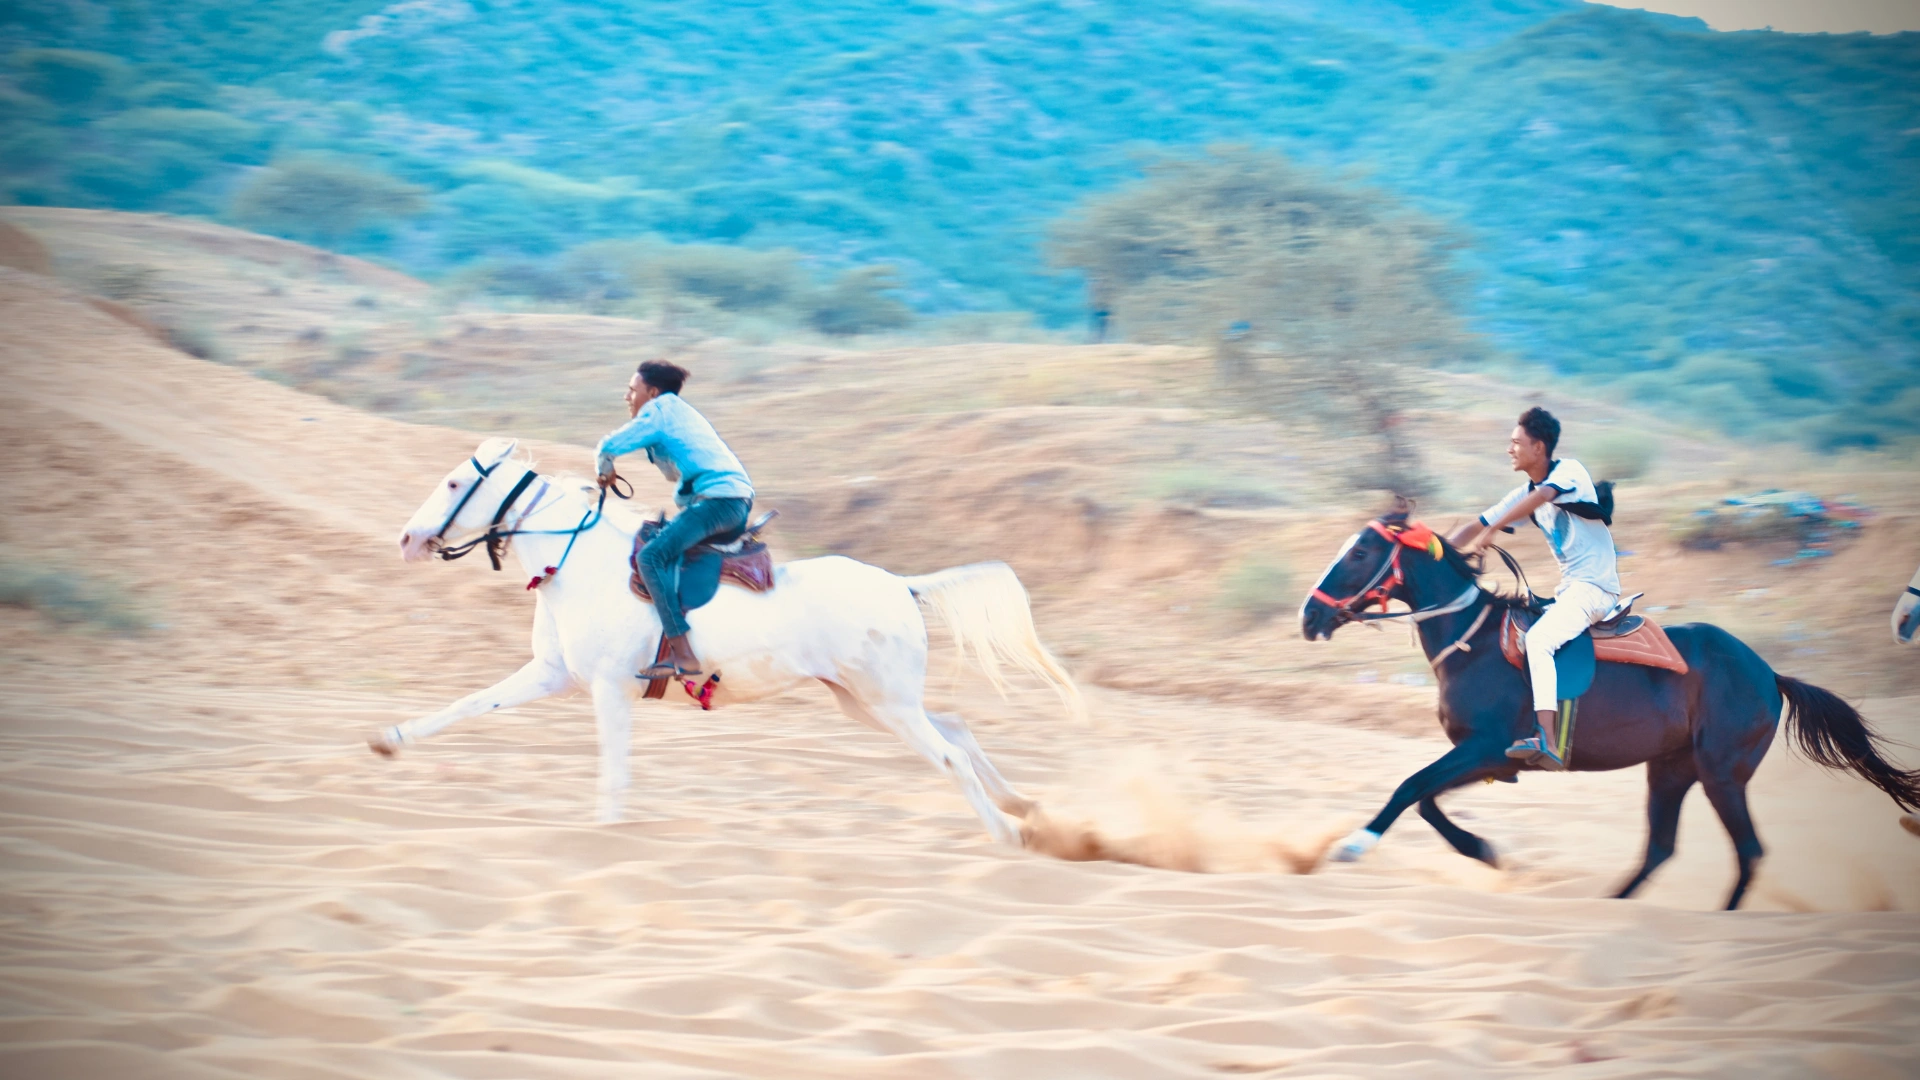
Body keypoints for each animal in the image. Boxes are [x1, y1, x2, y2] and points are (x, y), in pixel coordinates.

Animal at [376, 437, 1084, 843]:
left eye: (451, 483)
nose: (407, 540)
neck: (576, 563)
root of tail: (902, 585)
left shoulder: (609, 689)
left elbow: (614, 769)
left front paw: (605, 832)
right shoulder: (552, 674)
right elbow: (469, 705)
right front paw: (390, 739)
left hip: (886, 704)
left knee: (951, 755)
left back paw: (1007, 836)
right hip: (868, 702)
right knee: (958, 729)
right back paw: (1022, 807)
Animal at [1299, 511, 1920, 909]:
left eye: (1359, 552)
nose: (1310, 616)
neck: (1471, 642)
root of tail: (1769, 674)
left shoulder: (1483, 749)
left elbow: (1409, 788)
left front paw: (1355, 843)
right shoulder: (1491, 760)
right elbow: (1427, 801)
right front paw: (1484, 851)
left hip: (1721, 773)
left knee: (1747, 851)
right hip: (1670, 769)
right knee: (1661, 847)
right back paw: (1614, 904)